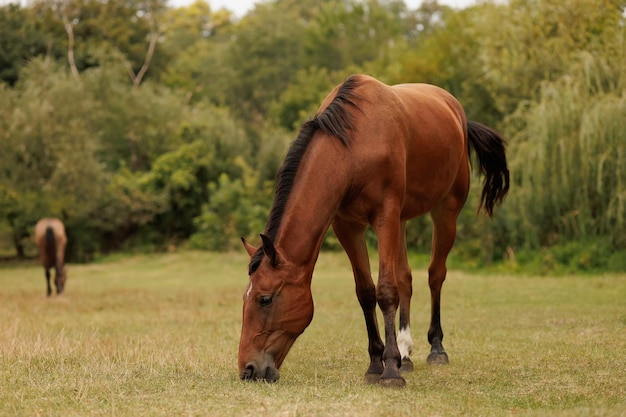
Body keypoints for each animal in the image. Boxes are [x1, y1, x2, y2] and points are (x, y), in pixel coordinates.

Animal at [239, 74, 508, 386]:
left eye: (265, 299)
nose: (248, 369)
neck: (352, 149)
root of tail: (456, 113)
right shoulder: (347, 226)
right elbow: (366, 292)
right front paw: (375, 363)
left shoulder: (385, 217)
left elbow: (387, 291)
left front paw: (390, 370)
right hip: (402, 220)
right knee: (406, 279)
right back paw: (405, 353)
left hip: (445, 212)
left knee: (435, 275)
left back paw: (436, 349)